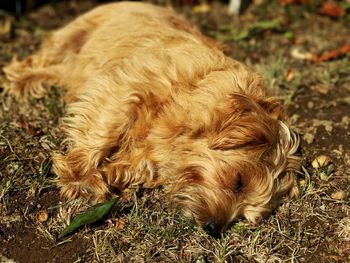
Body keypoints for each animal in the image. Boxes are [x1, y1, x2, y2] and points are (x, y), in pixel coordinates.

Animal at [2, 1, 300, 237]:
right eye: (238, 182)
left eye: (246, 214)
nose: (215, 229)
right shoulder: (122, 89)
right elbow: (104, 131)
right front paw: (80, 175)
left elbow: (134, 164)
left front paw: (109, 175)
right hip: (70, 37)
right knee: (33, 61)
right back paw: (20, 79)